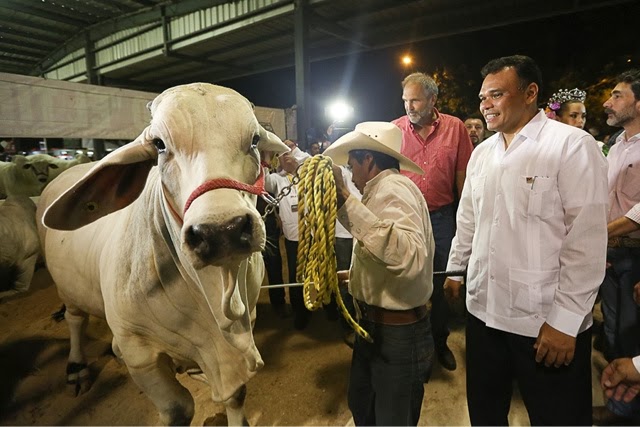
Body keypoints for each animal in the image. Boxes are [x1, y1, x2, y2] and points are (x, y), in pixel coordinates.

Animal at [36, 82, 288, 426]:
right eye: (159, 144)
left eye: (254, 140)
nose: (221, 230)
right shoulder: (140, 352)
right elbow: (179, 409)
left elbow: (236, 395)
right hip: (69, 290)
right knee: (75, 319)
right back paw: (77, 368)